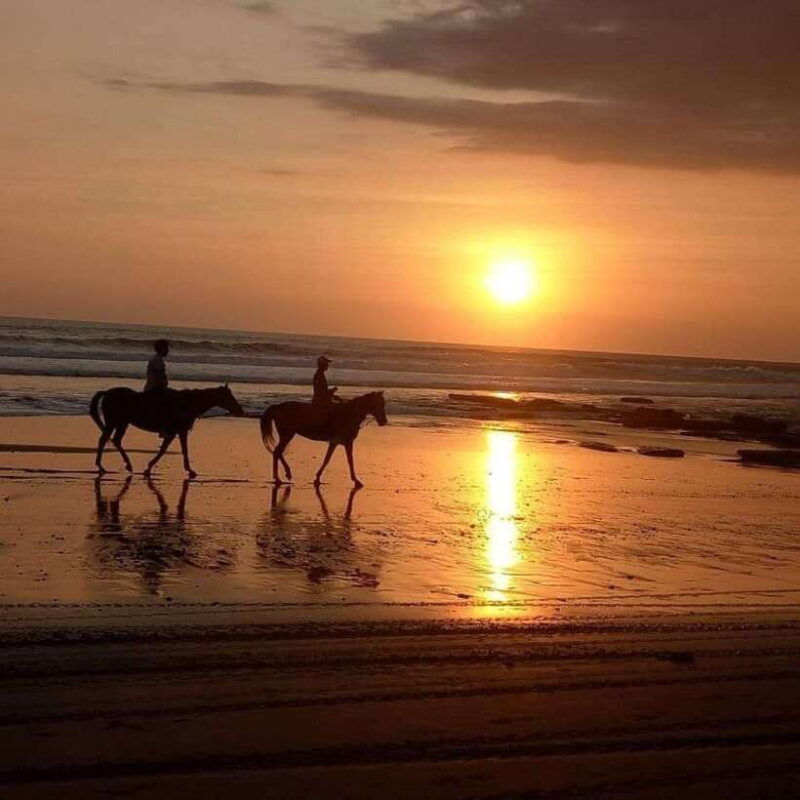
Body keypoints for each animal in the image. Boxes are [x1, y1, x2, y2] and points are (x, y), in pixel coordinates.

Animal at [90, 385, 244, 478]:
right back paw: (102, 466)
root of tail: (108, 392)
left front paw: (149, 467)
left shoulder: (173, 432)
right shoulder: (180, 431)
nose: (240, 411)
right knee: (104, 440)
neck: (187, 404)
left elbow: (164, 449)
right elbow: (182, 450)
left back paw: (126, 465)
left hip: (121, 423)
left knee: (115, 440)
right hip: (114, 422)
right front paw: (190, 470)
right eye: (229, 397)